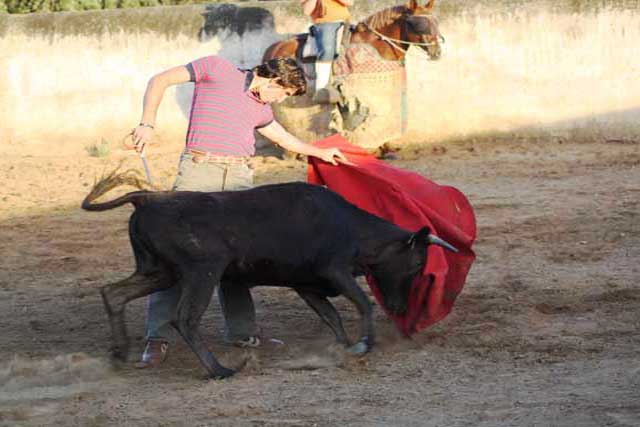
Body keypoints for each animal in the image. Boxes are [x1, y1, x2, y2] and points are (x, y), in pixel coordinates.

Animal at [82, 179, 458, 380]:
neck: (353, 229)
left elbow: (331, 316)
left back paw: (120, 353)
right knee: (185, 318)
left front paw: (341, 346)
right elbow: (362, 303)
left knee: (114, 293)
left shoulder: (306, 285)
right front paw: (363, 344)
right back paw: (219, 369)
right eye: (417, 263)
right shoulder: (334, 269)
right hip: (203, 270)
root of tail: (147, 198)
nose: (400, 307)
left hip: (158, 271)